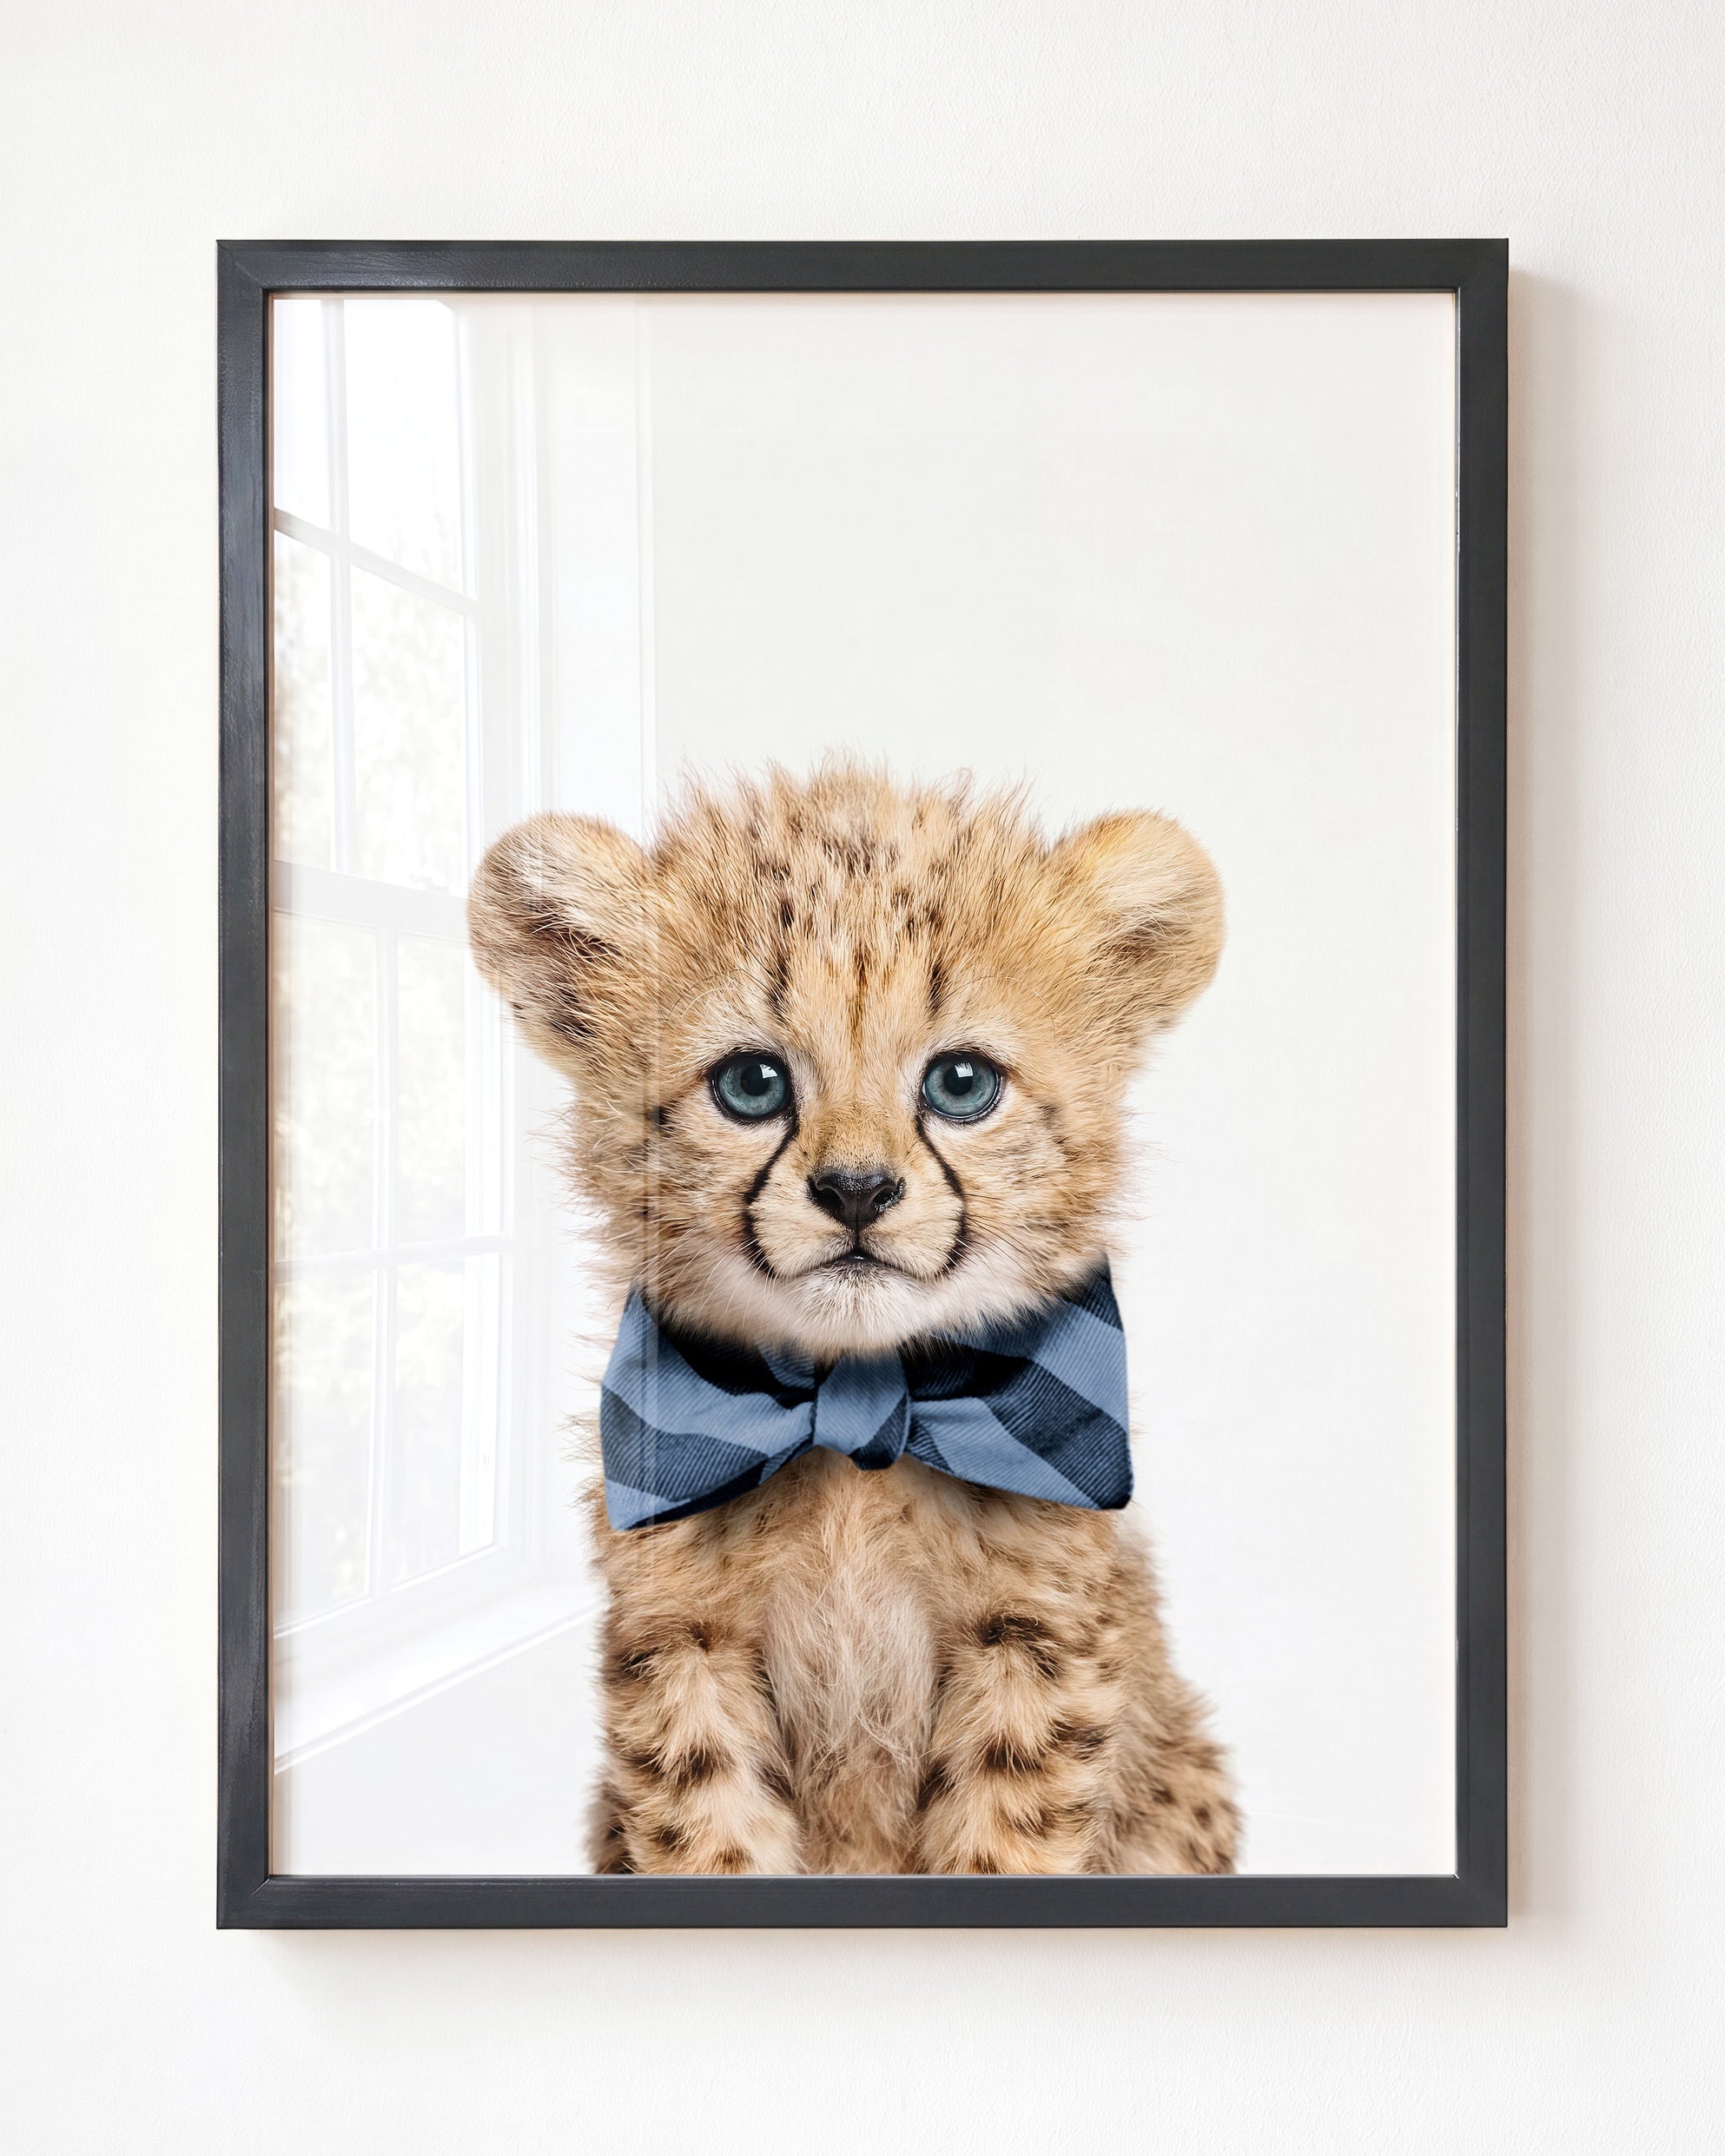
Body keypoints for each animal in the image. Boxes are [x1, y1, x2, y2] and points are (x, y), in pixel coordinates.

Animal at [468, 761, 1239, 1875]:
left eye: (961, 1082)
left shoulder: (1035, 1642)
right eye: (752, 1083)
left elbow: (1002, 1844)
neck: (855, 1407)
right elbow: (711, 1837)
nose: (857, 1190)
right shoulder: (683, 1641)